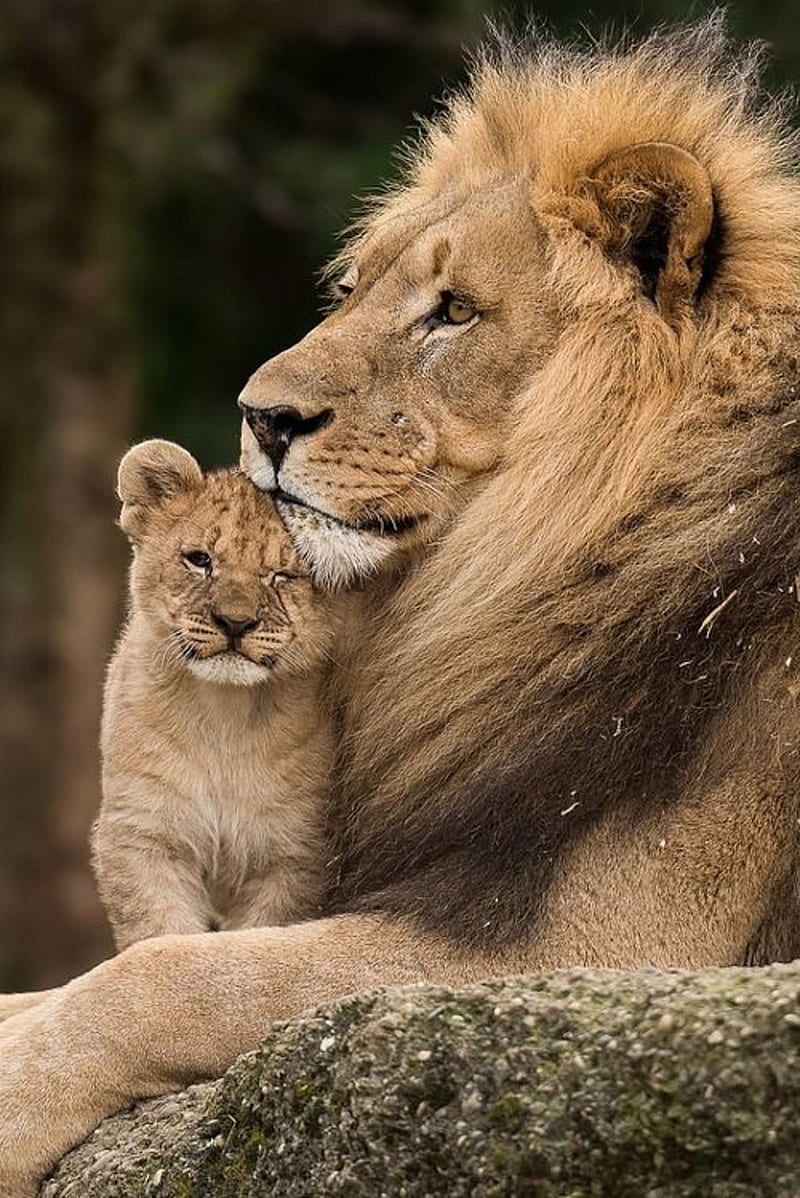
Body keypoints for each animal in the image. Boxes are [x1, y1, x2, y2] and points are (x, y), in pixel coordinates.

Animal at [94, 439, 340, 950]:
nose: (235, 622)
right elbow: (158, 935)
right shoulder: (143, 832)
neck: (226, 713)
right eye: (200, 559)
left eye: (283, 575)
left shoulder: (293, 854)